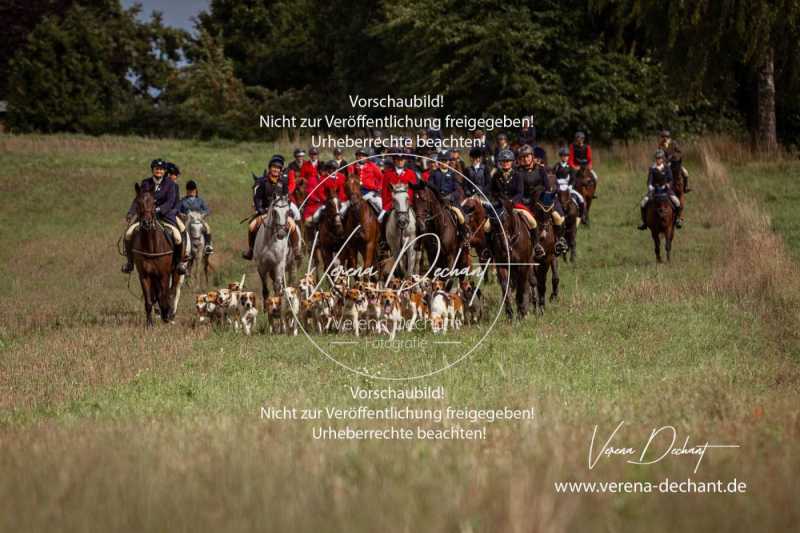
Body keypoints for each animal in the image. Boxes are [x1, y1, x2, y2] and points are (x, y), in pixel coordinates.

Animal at [130, 182, 183, 324]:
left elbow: (165, 295)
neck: (151, 246)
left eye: (154, 203)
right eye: (138, 202)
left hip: (175, 273)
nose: (146, 223)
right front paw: (150, 324)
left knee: (173, 291)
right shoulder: (144, 276)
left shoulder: (164, 274)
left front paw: (166, 315)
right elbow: (149, 300)